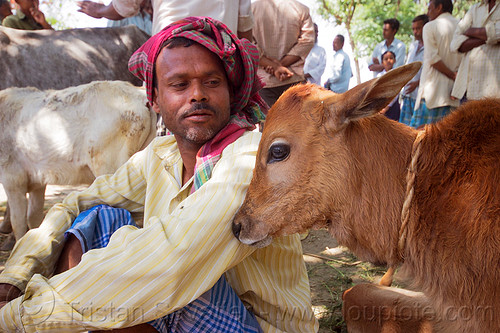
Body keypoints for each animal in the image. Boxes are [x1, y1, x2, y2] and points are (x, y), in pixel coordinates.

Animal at [0, 80, 155, 246]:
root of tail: (140, 97)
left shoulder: (12, 179)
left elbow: (18, 221)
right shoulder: (37, 182)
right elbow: (34, 217)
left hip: (111, 165)